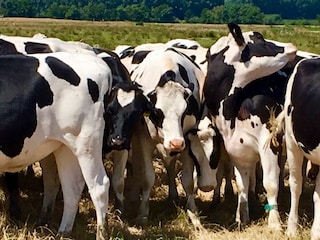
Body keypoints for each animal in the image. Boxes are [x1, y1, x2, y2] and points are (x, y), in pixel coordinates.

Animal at [0, 51, 116, 239]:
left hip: (87, 145)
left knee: (99, 186)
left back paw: (101, 233)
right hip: (65, 146)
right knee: (72, 186)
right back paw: (63, 231)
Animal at [202, 23, 298, 229]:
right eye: (260, 37)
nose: (291, 45)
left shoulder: (268, 143)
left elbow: (270, 184)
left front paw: (274, 222)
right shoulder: (237, 150)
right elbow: (242, 185)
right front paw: (242, 217)